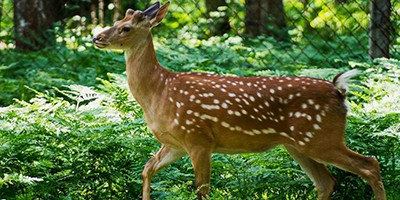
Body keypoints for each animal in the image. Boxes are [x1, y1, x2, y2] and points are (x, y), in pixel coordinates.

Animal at [92, 1, 386, 200]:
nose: (97, 37)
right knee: (326, 182)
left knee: (369, 164)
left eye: (125, 27)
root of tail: (339, 90)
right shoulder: (175, 142)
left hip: (322, 137)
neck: (158, 92)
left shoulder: (199, 138)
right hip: (299, 144)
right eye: (116, 22)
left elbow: (202, 190)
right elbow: (147, 169)